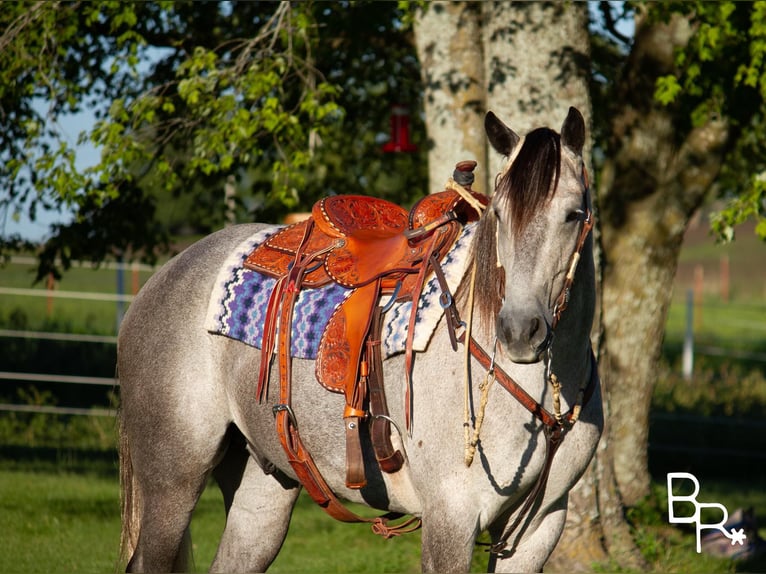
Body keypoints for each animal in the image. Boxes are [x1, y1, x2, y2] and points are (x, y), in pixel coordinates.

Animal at [117, 107, 604, 572]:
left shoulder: (540, 528)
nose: (519, 331)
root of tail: (163, 275)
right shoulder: (452, 518)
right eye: (499, 215)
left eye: (573, 214)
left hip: (262, 486)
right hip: (173, 480)